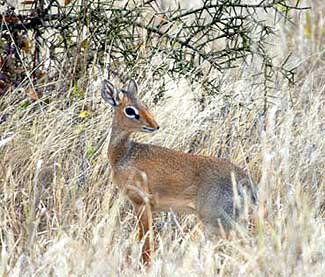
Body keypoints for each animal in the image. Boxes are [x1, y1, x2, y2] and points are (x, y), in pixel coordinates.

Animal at [101, 78, 256, 264]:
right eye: (130, 110)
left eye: (144, 106)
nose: (155, 125)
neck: (124, 154)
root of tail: (245, 181)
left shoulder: (141, 204)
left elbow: (146, 244)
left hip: (218, 222)